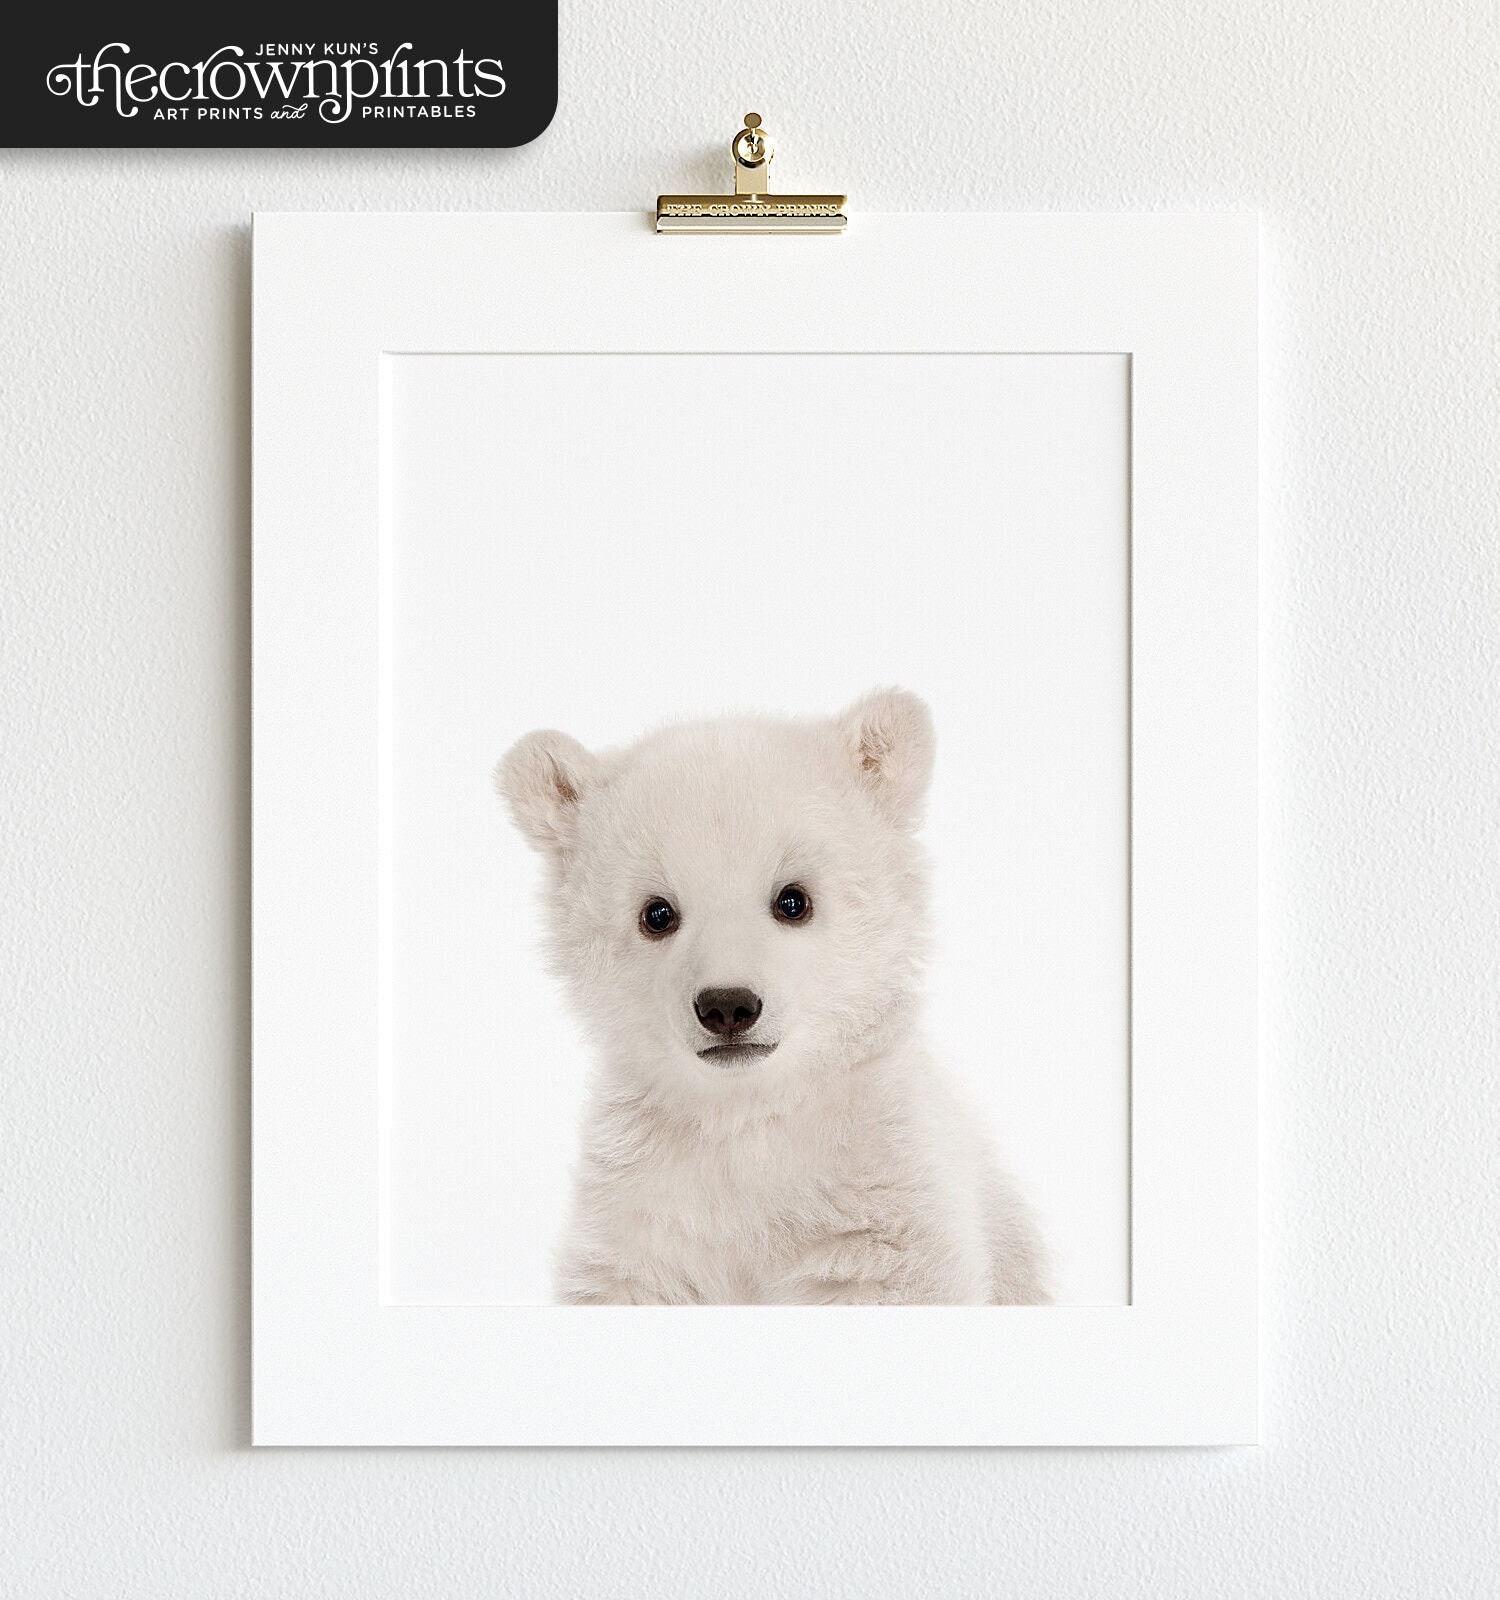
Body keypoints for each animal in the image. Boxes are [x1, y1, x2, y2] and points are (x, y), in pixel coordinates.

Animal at [495, 688, 1050, 1306]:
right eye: (656, 913)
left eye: (793, 900)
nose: (727, 1006)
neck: (750, 1115)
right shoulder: (642, 1207)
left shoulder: (884, 1189)